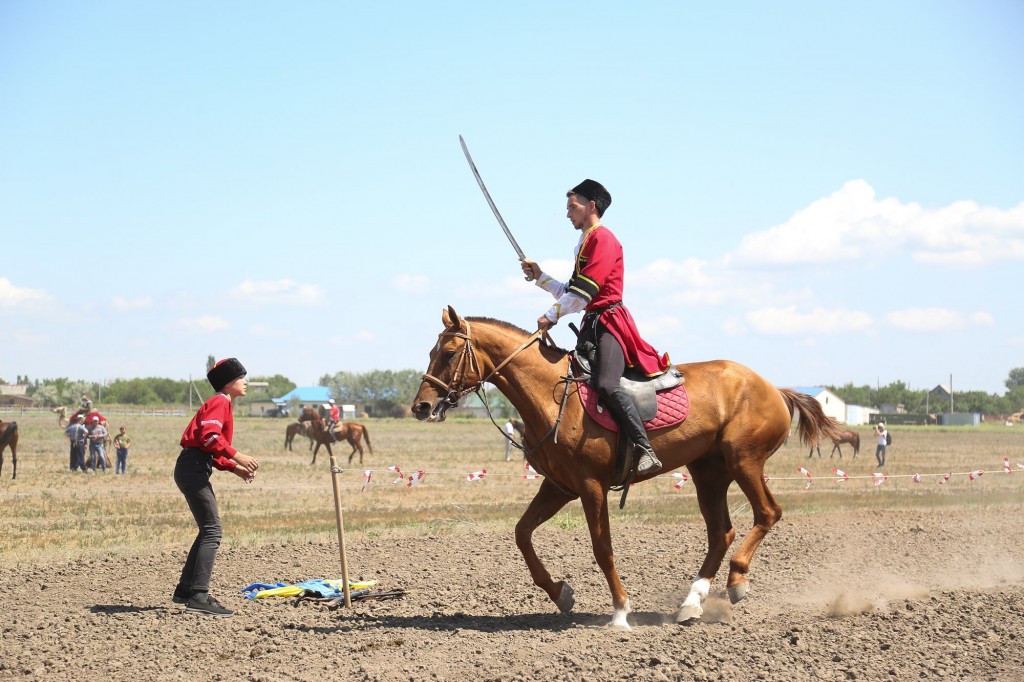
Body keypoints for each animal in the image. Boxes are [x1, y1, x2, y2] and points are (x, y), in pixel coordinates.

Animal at [411, 307, 843, 626]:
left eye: (448, 353)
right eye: (431, 352)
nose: (421, 406)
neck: (553, 395)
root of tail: (773, 388)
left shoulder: (591, 487)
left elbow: (602, 548)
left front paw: (620, 610)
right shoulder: (559, 486)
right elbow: (522, 534)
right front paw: (560, 593)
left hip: (744, 461)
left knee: (767, 513)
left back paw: (737, 580)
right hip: (709, 472)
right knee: (721, 532)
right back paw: (692, 602)